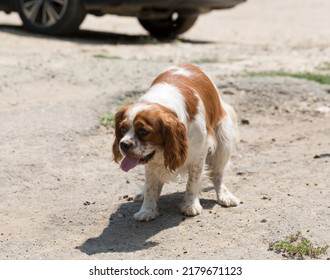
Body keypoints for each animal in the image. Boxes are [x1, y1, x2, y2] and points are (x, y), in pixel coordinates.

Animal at [112, 64, 238, 221]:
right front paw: (147, 210)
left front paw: (190, 205)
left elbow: (193, 182)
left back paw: (224, 195)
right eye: (122, 129)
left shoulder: (199, 154)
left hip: (223, 142)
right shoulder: (151, 159)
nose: (123, 144)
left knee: (217, 174)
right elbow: (150, 185)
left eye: (143, 131)